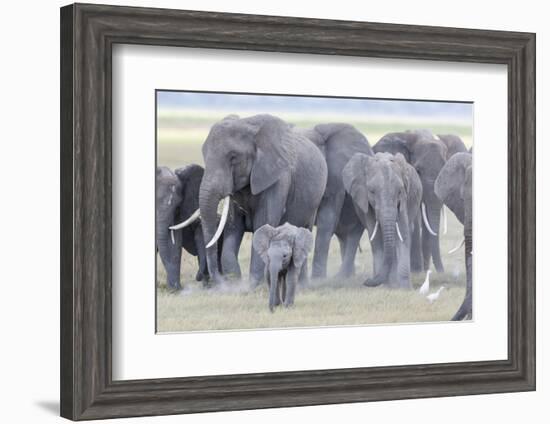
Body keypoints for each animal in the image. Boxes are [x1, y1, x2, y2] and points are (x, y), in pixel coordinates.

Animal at [198, 114, 328, 286]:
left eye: (233, 157)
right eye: (204, 155)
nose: (219, 281)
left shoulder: (278, 178)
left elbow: (263, 224)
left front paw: (253, 285)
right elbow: (233, 228)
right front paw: (236, 284)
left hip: (313, 203)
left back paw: (300, 285)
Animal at [302, 124, 376, 280]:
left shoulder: (336, 176)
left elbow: (327, 219)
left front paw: (318, 280)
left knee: (353, 233)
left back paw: (343, 277)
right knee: (343, 235)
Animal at [342, 152, 424, 288]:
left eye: (399, 191)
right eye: (372, 191)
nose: (366, 281)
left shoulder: (403, 201)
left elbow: (403, 233)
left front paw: (405, 289)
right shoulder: (366, 203)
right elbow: (375, 237)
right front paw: (385, 285)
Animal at [374, 131, 450, 274]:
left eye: (444, 171)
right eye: (418, 170)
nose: (442, 272)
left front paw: (422, 270)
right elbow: (415, 220)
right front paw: (416, 271)